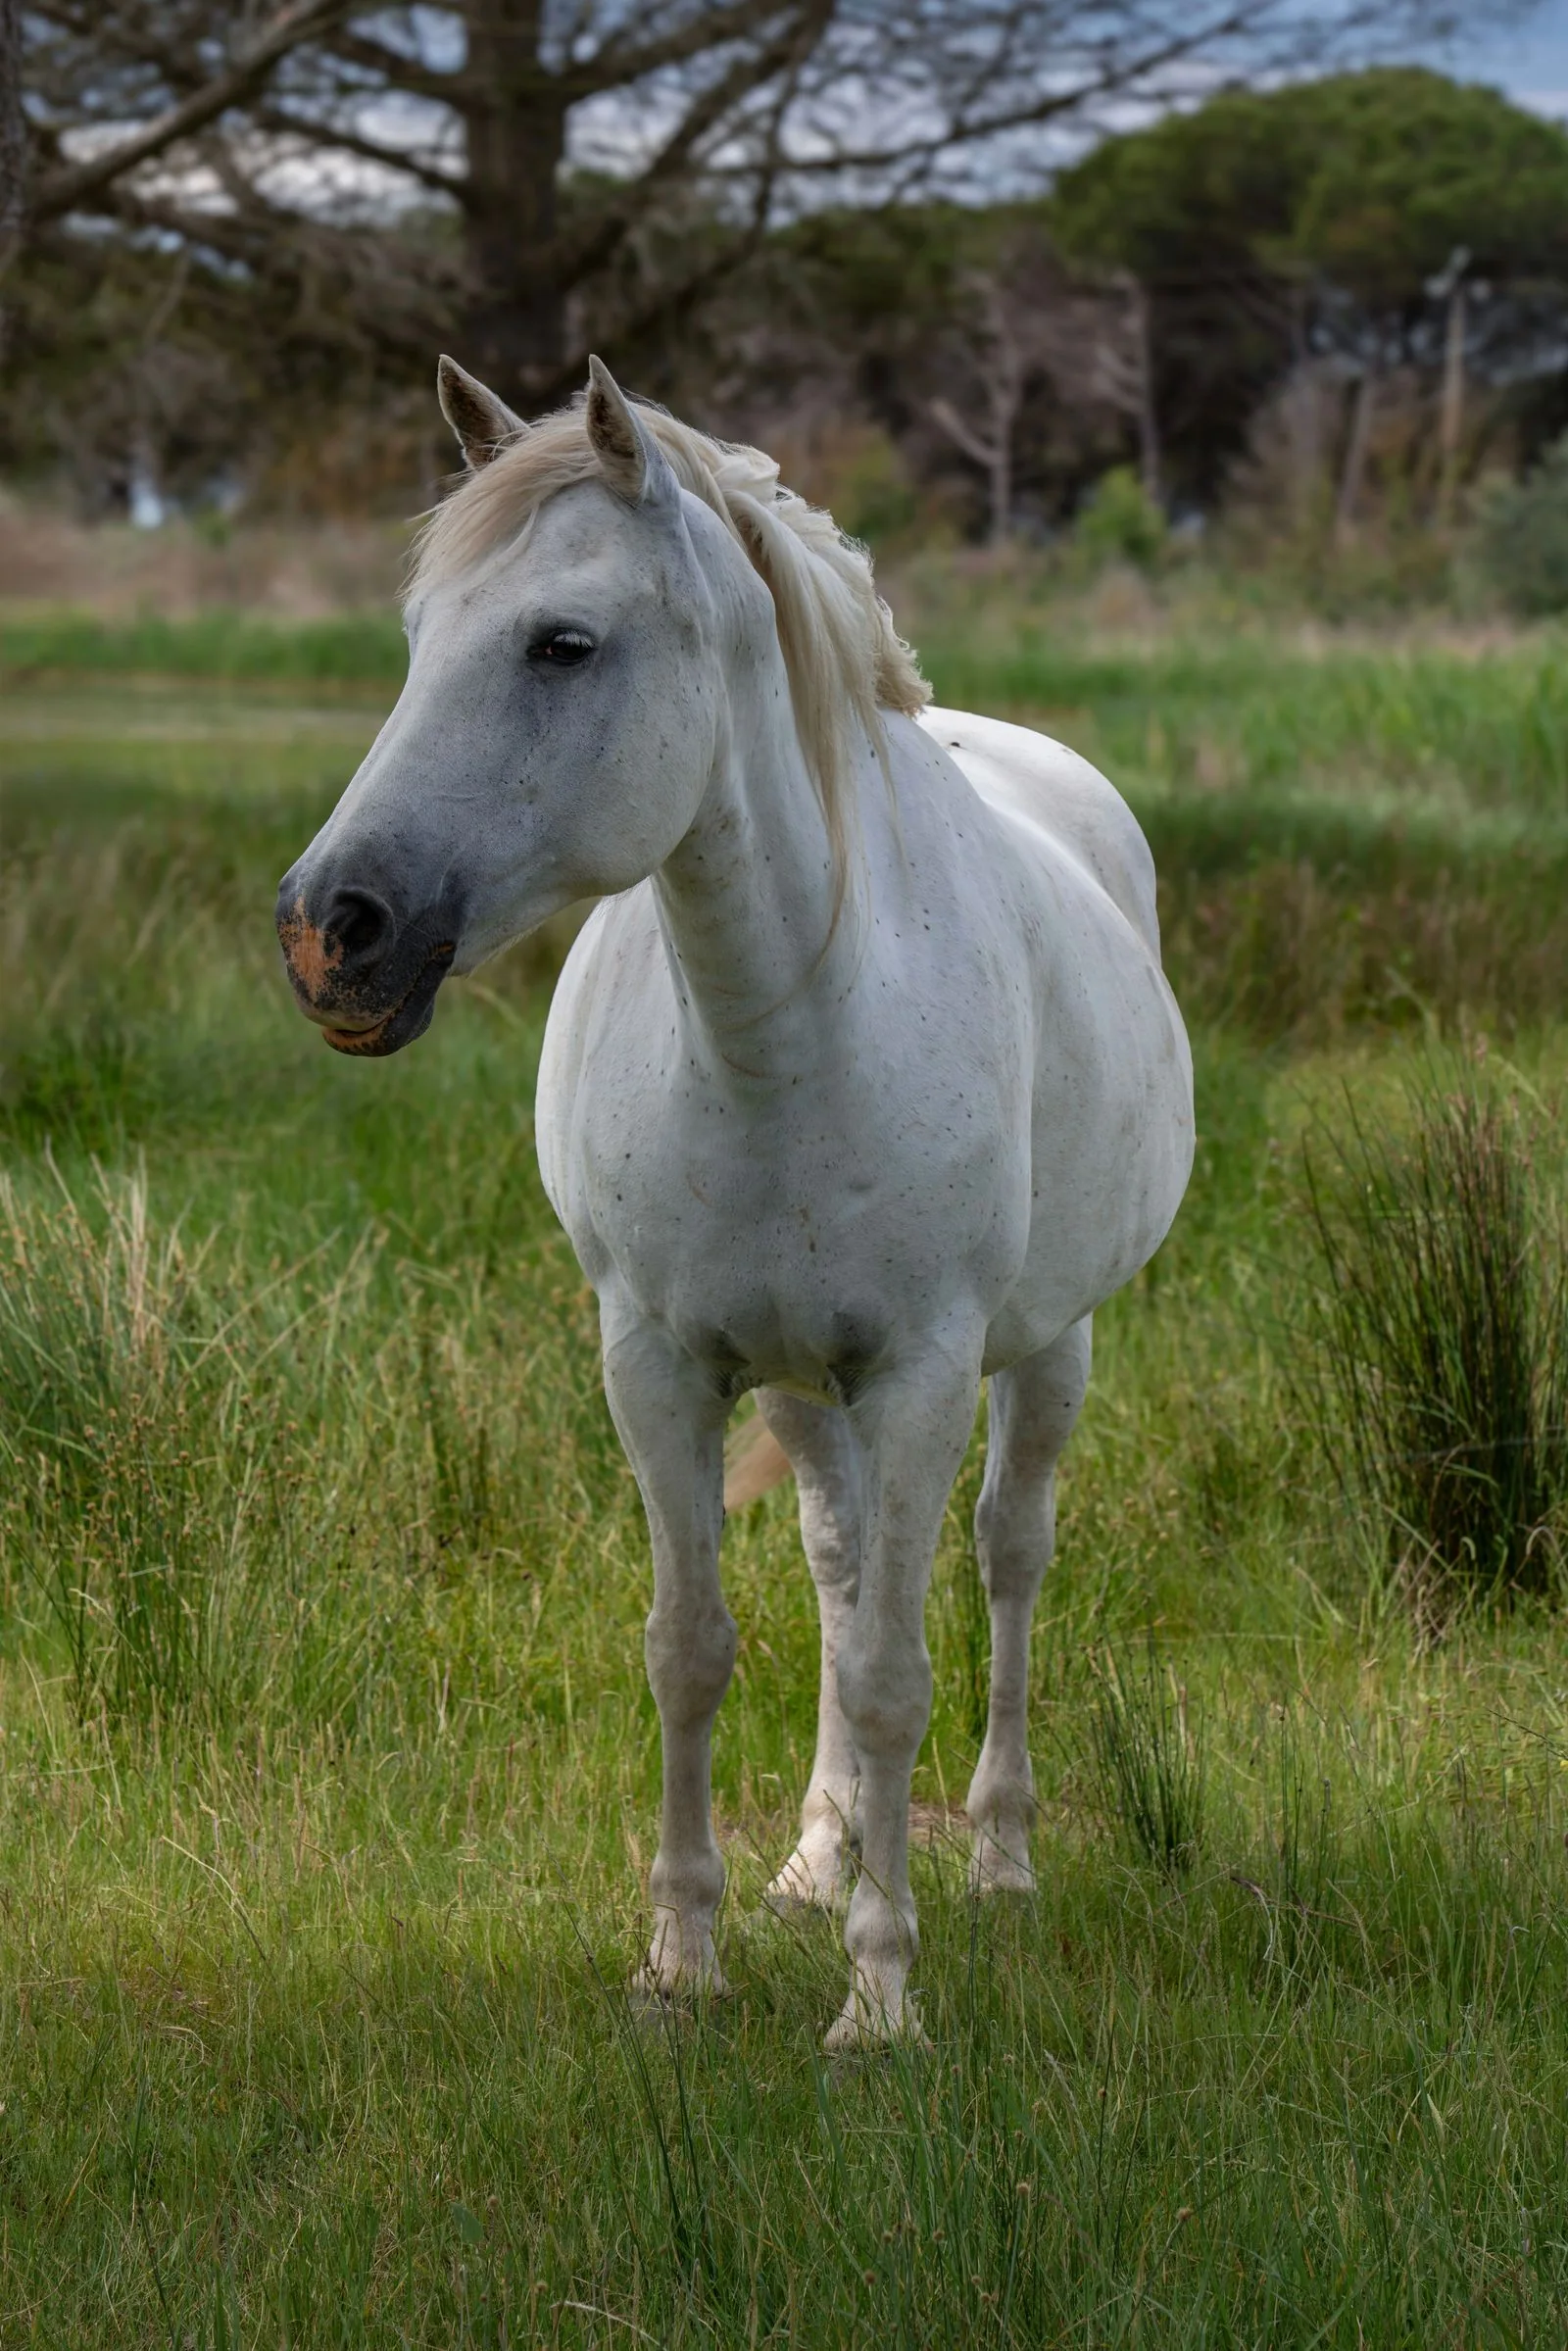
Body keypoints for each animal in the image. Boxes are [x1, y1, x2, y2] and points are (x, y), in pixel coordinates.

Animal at [276, 355, 1194, 2049]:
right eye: (419, 636)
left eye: (562, 643)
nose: (331, 931)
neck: (788, 1013)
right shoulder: (658, 1361)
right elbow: (693, 1648)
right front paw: (682, 1956)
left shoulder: (922, 1369)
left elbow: (897, 1668)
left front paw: (881, 1997)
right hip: (802, 1383)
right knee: (837, 1569)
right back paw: (819, 1860)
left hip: (1047, 1351)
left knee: (1006, 1556)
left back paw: (998, 1857)